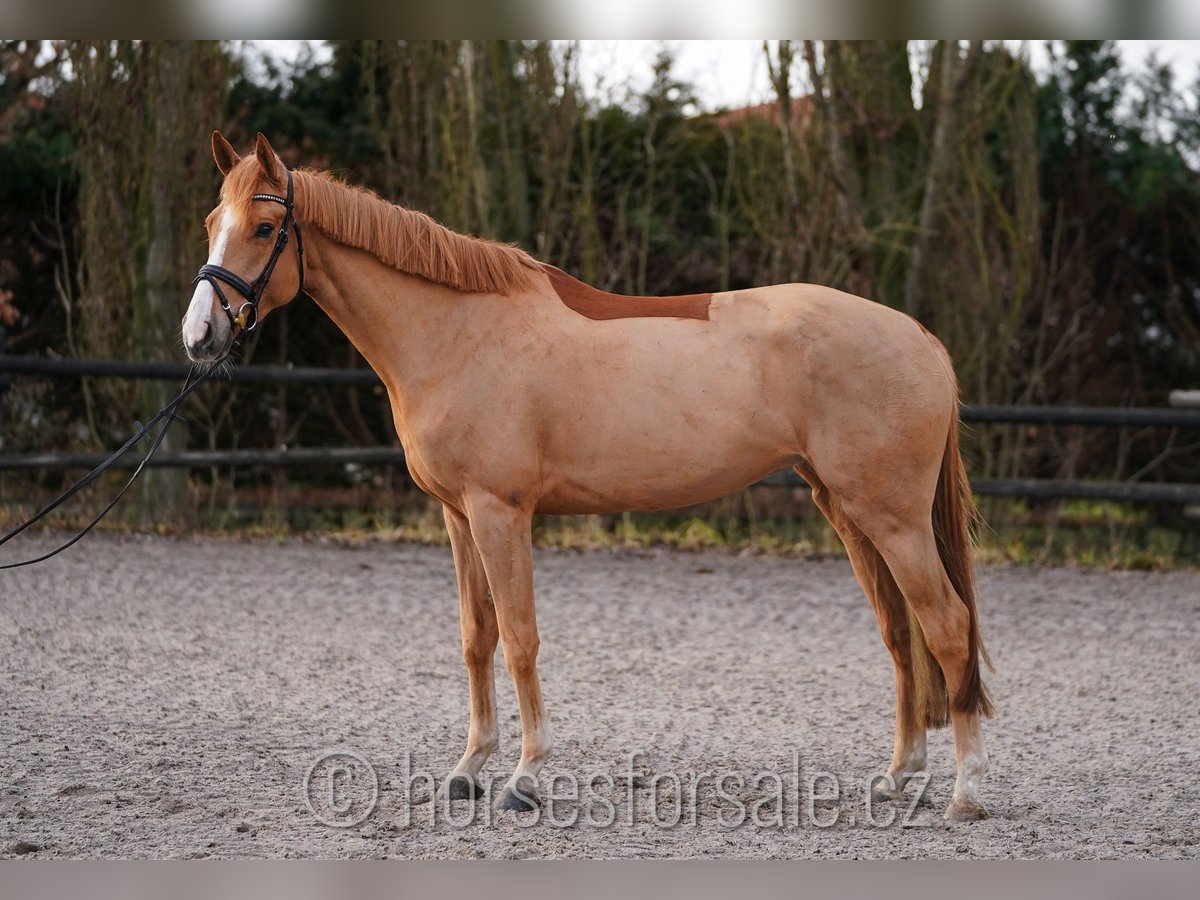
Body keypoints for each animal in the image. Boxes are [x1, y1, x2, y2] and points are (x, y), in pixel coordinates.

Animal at [184, 132, 993, 825]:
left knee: (948, 628)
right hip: (848, 510)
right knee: (901, 633)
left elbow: (520, 637)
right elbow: (476, 636)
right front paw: (467, 770)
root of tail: (922, 339)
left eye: (263, 228)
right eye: (212, 221)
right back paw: (898, 778)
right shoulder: (457, 515)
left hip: (890, 518)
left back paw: (964, 794)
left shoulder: (501, 511)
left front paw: (524, 778)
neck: (457, 332)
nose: (199, 336)